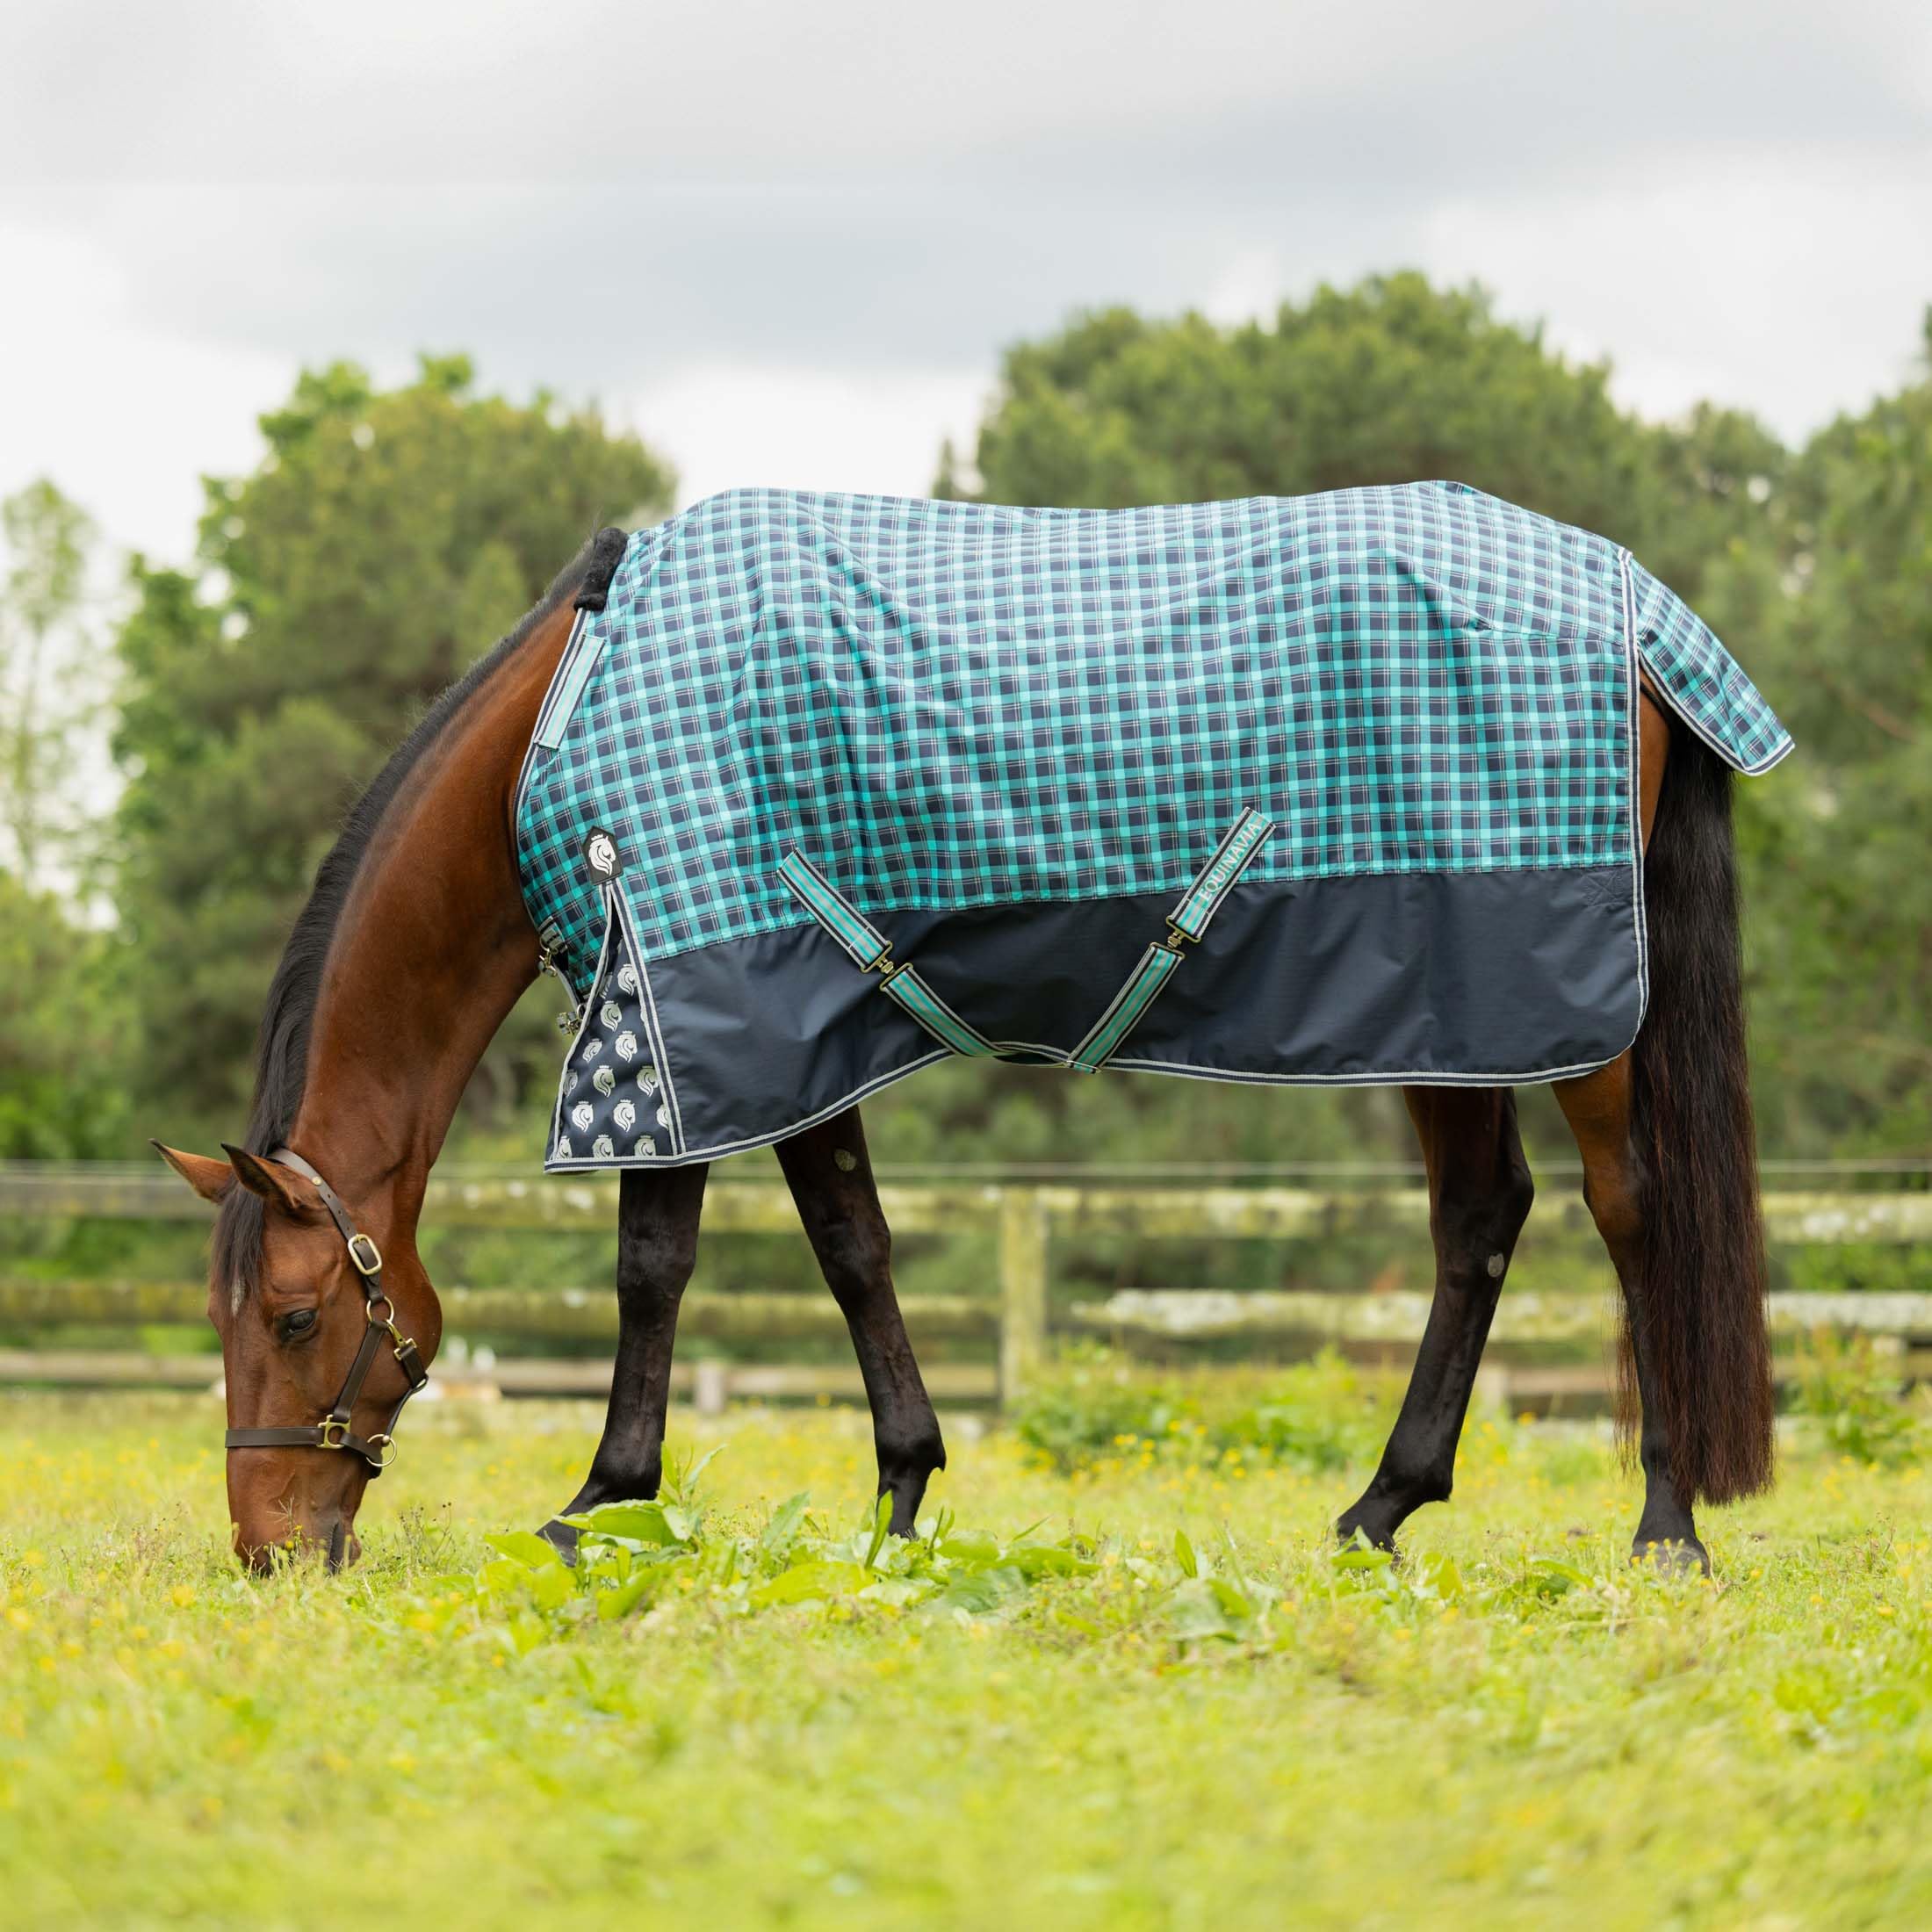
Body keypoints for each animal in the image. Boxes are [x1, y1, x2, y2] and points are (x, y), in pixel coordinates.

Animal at [154, 492, 1779, 1575]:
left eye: (290, 1318)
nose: (267, 1545)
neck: (567, 715)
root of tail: (1641, 610)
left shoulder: (675, 1005)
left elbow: (653, 1267)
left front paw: (600, 1502)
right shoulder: (789, 1027)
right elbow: (853, 1250)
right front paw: (901, 1491)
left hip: (1560, 1011)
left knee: (1632, 1211)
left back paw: (1665, 1524)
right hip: (1445, 1004)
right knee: (1481, 1221)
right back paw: (1382, 1509)